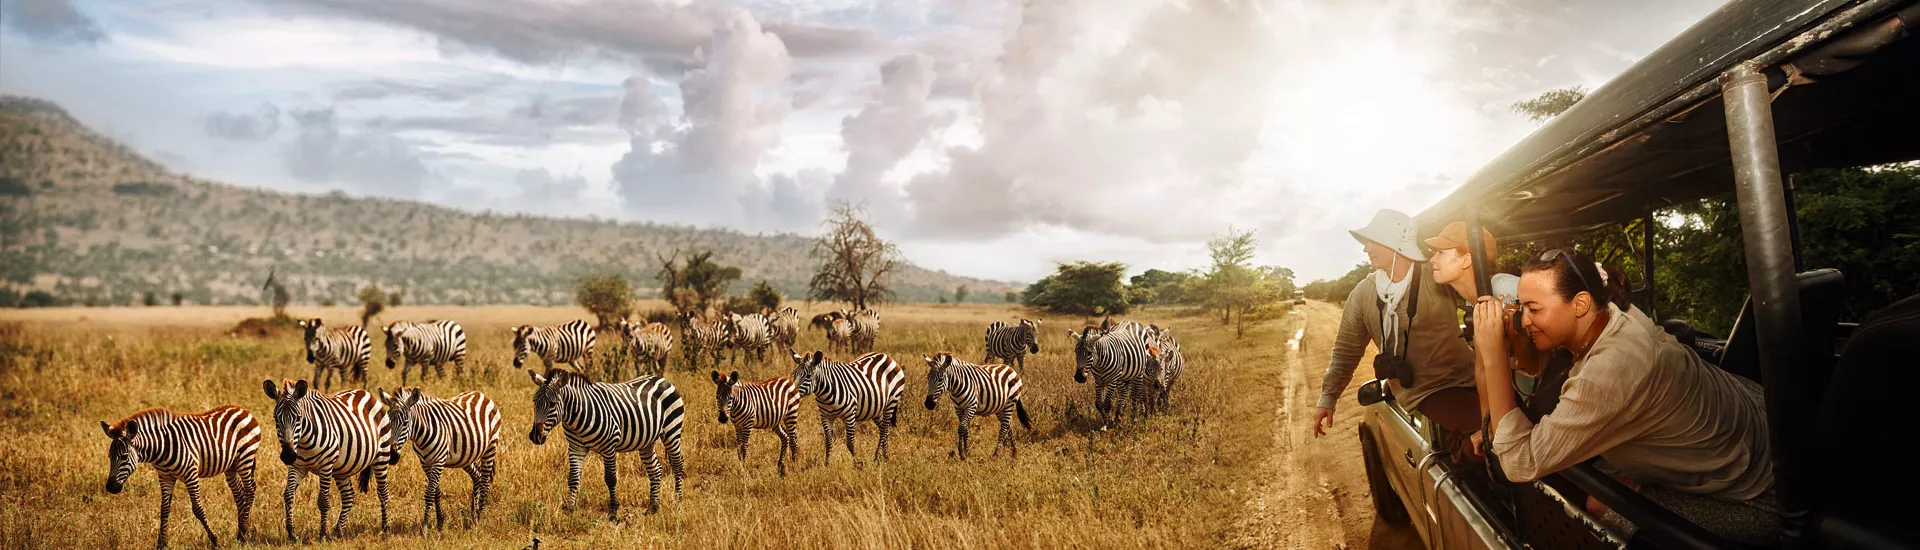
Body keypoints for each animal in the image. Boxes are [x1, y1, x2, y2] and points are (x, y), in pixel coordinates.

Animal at [101, 403, 261, 550]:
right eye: (109, 456)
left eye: (124, 457)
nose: (111, 487)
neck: (162, 448)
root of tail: (242, 409)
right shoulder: (165, 477)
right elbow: (164, 509)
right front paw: (161, 544)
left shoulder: (191, 474)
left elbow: (197, 509)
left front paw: (215, 540)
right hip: (231, 466)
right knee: (239, 495)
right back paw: (240, 533)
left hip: (245, 457)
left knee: (250, 489)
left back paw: (243, 533)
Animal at [261, 380, 395, 538]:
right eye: (276, 418)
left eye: (298, 418)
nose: (288, 455)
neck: (303, 442)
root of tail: (366, 392)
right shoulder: (297, 467)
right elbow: (288, 494)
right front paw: (291, 532)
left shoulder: (325, 465)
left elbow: (323, 501)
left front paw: (323, 534)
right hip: (342, 468)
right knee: (348, 496)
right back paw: (338, 530)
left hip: (382, 457)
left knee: (383, 492)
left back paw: (386, 528)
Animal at [378, 386, 499, 526]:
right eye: (387, 421)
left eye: (405, 423)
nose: (392, 456)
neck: (422, 434)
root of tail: (481, 394)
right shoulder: (425, 462)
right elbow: (436, 491)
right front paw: (440, 521)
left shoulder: (439, 461)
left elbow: (430, 493)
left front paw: (424, 526)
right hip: (466, 456)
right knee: (477, 476)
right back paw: (473, 513)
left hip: (490, 448)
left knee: (485, 482)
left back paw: (478, 517)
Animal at [533, 367, 691, 519]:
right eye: (534, 402)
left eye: (553, 404)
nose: (535, 436)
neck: (577, 418)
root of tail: (661, 379)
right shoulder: (575, 447)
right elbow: (573, 478)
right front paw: (570, 510)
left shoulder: (609, 447)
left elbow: (610, 479)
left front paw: (613, 511)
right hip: (647, 441)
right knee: (655, 469)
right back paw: (653, 507)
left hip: (672, 431)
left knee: (678, 463)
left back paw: (678, 501)